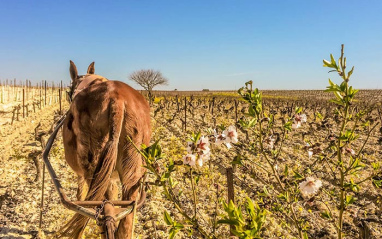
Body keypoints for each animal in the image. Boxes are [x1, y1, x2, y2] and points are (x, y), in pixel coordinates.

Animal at [59, 60, 151, 238]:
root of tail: (118, 100)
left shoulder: (82, 176)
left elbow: (81, 196)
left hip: (92, 169)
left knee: (98, 210)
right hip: (132, 170)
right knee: (124, 223)